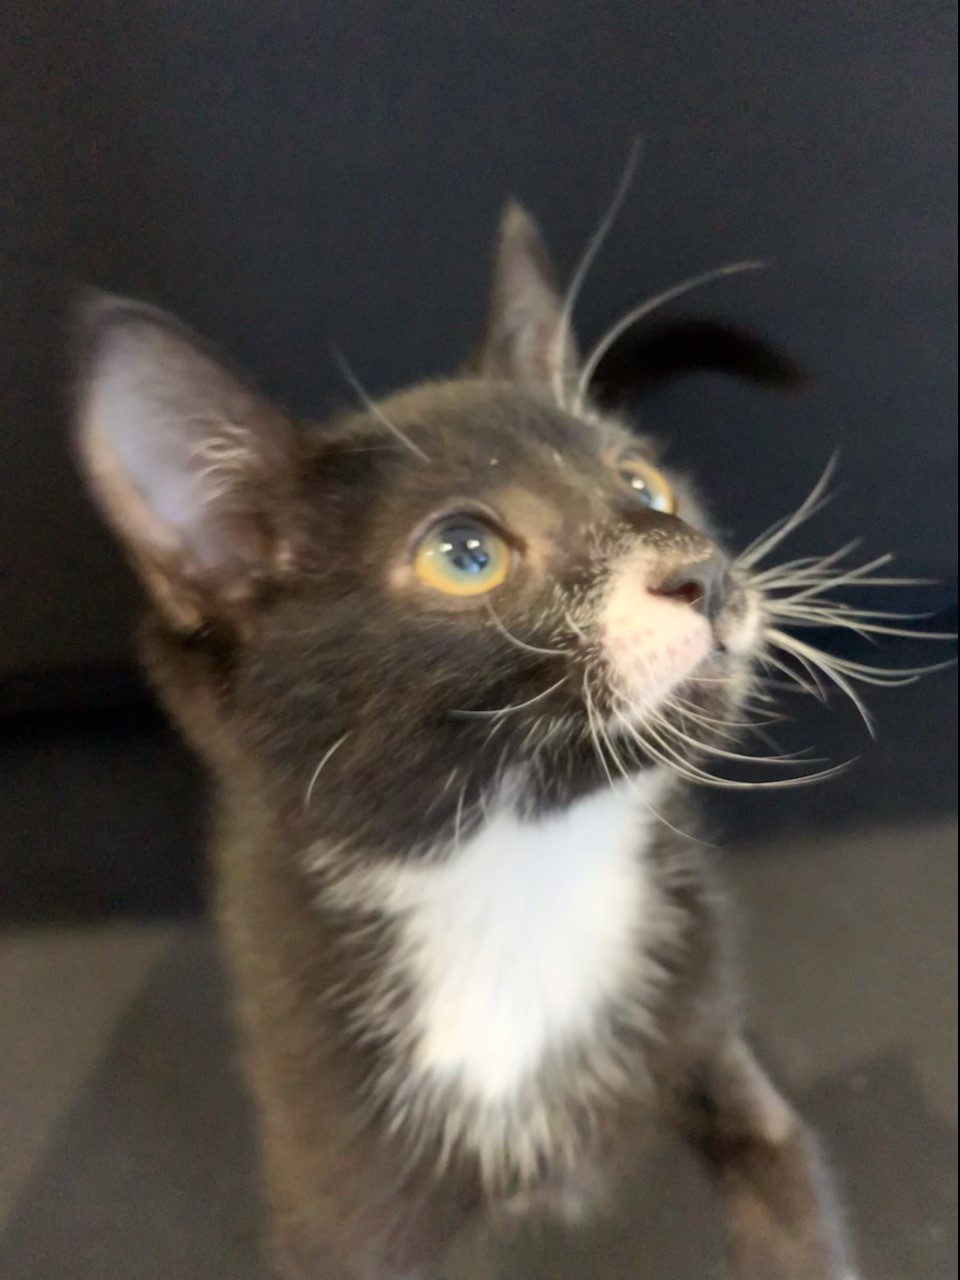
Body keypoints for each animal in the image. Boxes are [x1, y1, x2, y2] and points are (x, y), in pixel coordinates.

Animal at [71, 200, 871, 1280]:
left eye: (644, 485)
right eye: (464, 554)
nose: (704, 571)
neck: (519, 867)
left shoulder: (708, 1041)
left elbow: (782, 1177)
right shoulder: (340, 1182)